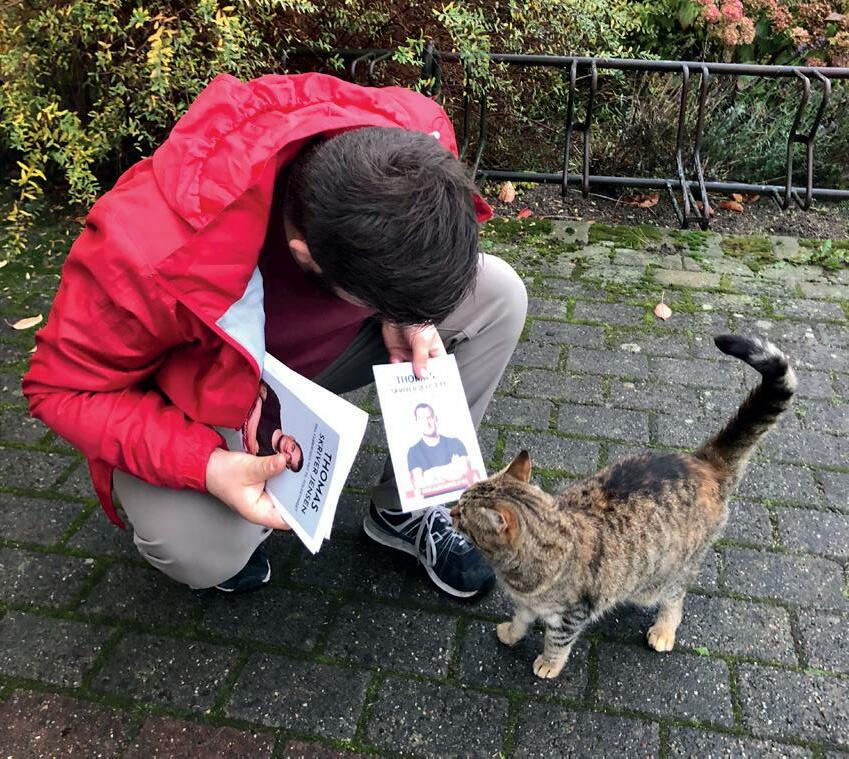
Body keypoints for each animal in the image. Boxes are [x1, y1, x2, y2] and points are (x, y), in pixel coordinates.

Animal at [451, 334, 796, 679]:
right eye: (460, 499)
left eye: (463, 514)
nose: (451, 511)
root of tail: (701, 462)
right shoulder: (526, 603)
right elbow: (520, 618)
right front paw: (511, 633)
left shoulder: (572, 616)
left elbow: (557, 643)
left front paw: (549, 663)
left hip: (669, 571)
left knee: (675, 598)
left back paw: (664, 630)